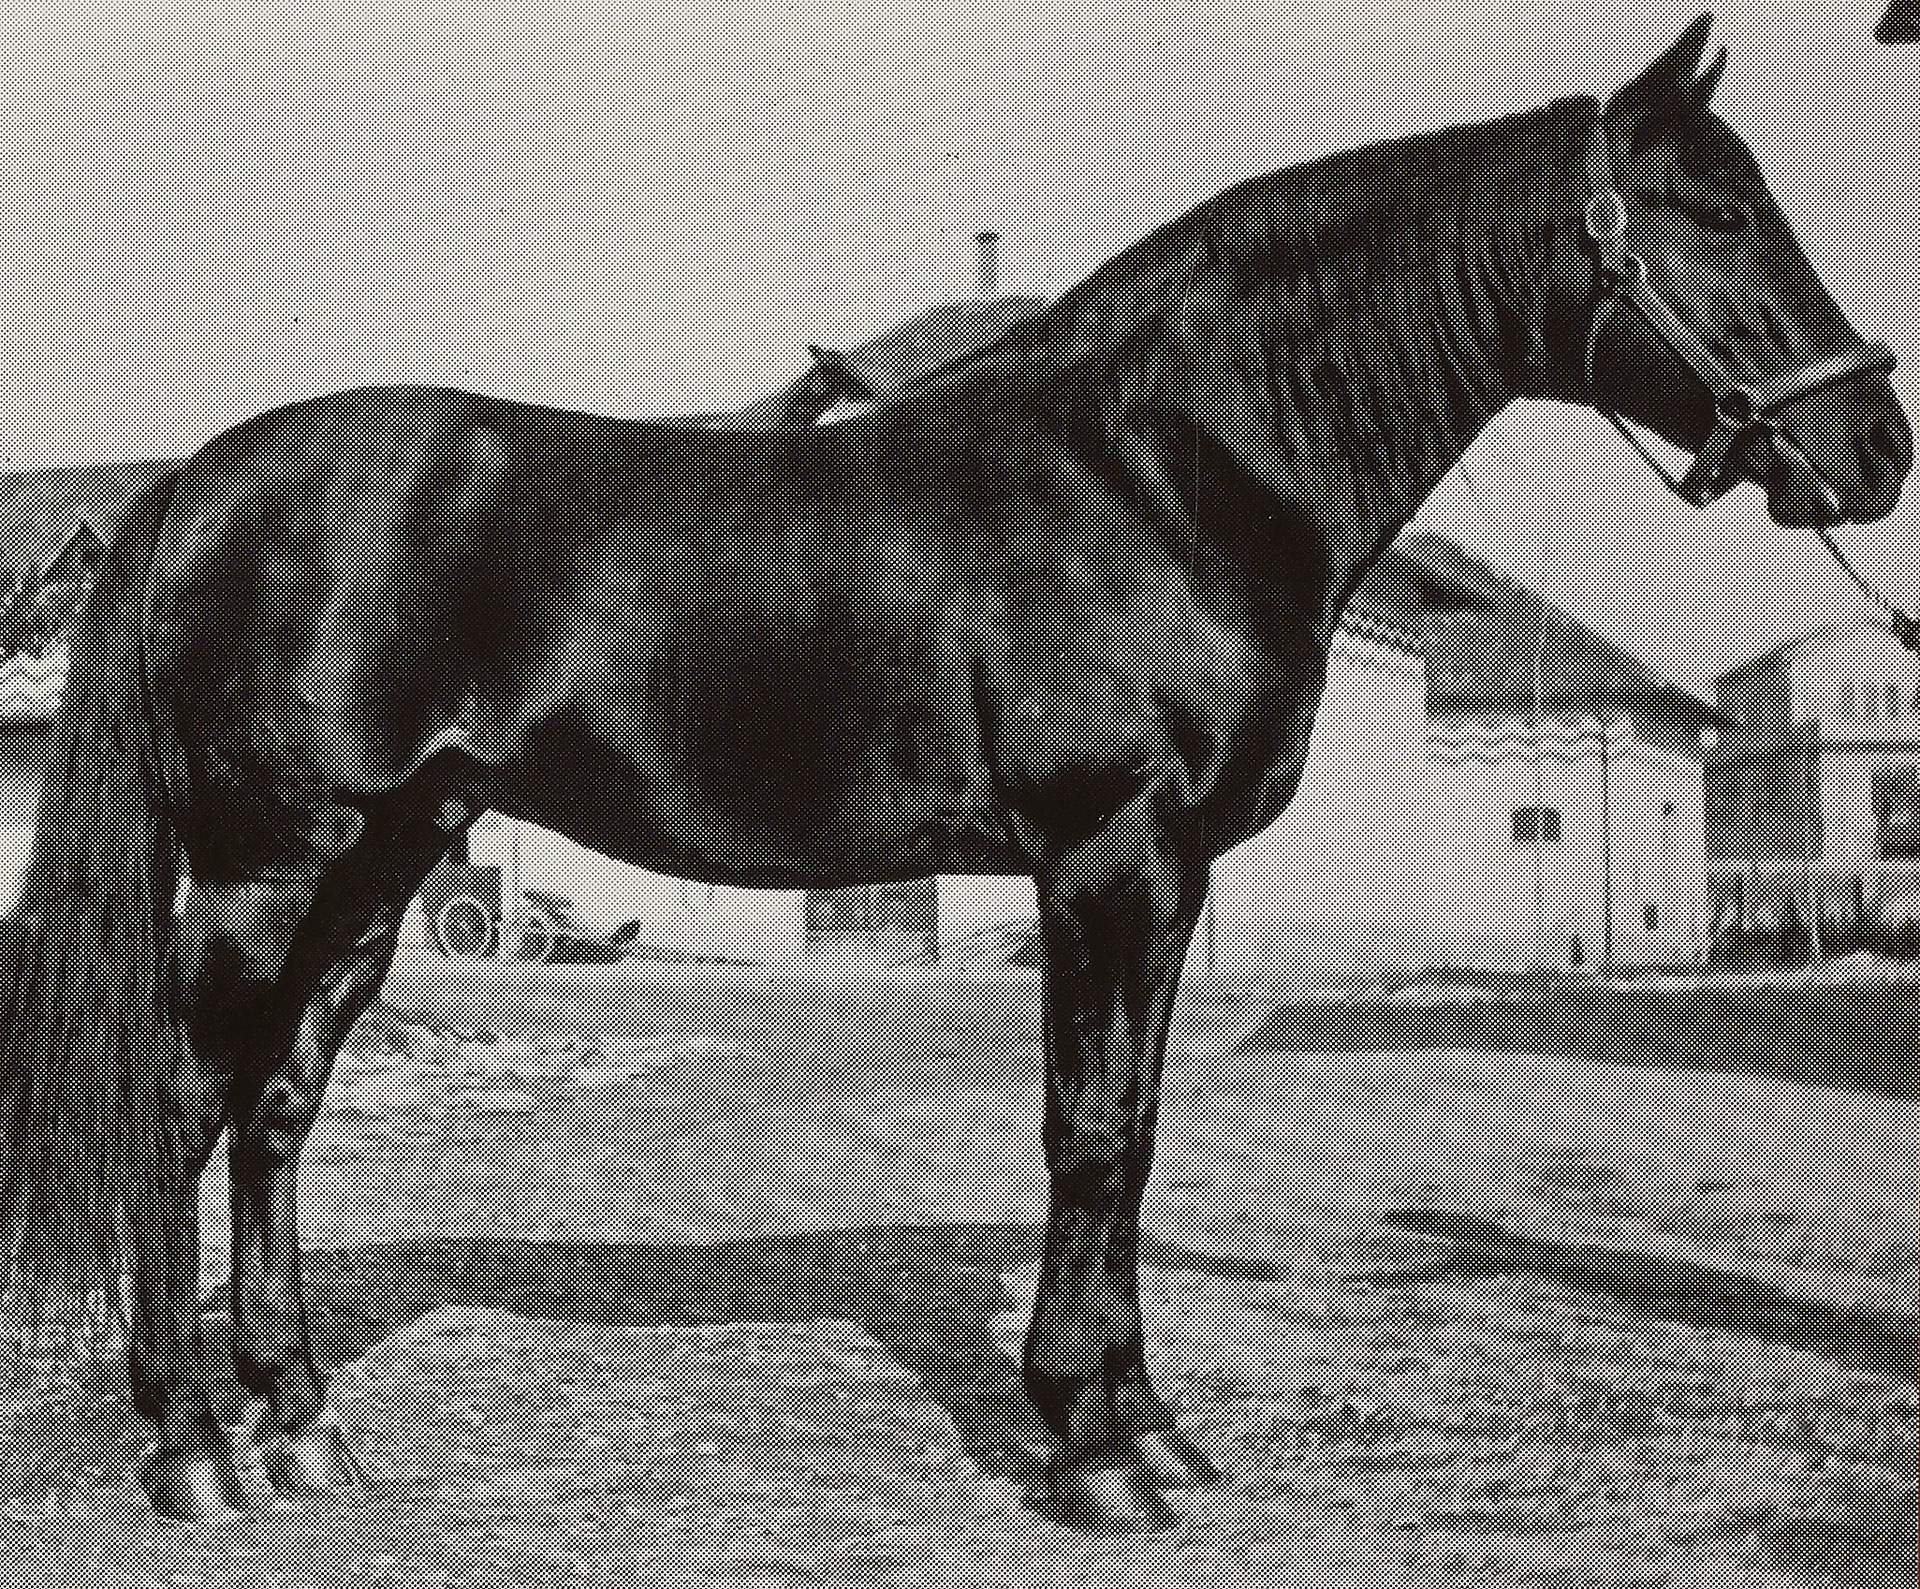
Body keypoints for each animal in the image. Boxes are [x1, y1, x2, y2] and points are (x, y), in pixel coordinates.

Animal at [0, 15, 1904, 1527]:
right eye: (1718, 213)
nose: (1874, 443)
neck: (1161, 467)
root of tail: (199, 478)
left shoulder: (1172, 873)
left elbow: (1136, 1123)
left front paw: (1143, 1420)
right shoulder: (1105, 852)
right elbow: (1086, 1131)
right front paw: (1094, 1448)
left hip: (388, 858)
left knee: (276, 1112)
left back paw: (302, 1422)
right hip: (270, 861)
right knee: (177, 1105)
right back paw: (188, 1442)